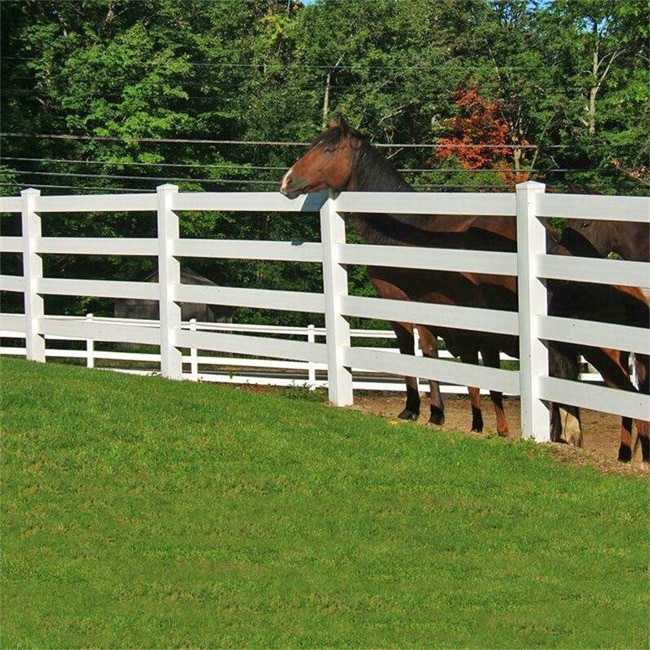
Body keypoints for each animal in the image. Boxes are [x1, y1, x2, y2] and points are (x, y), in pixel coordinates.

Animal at [280, 117, 644, 460]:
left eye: (329, 149)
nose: (287, 181)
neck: (402, 227)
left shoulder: (402, 304)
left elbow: (416, 353)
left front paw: (418, 410)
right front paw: (463, 420)